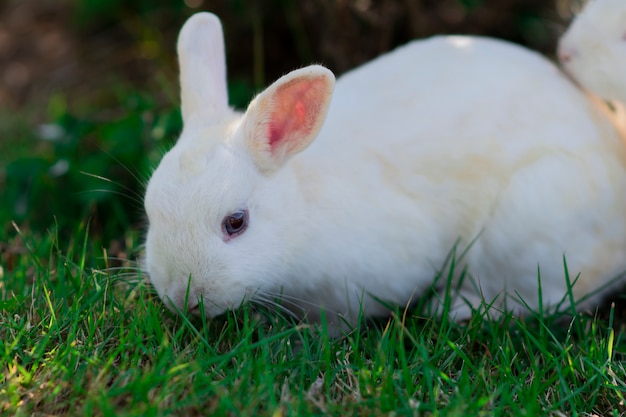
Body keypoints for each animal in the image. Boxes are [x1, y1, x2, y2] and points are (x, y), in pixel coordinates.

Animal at [141, 11, 624, 330]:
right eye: (150, 213)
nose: (181, 297)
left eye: (236, 223)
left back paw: (454, 308)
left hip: (527, 231)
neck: (303, 207)